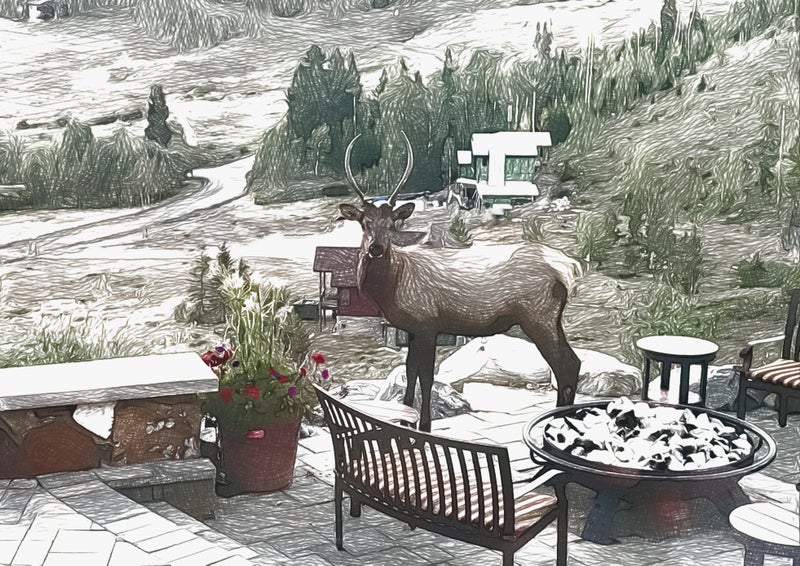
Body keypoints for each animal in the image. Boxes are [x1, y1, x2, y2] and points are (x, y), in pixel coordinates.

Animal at [339, 133, 581, 431]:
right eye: (364, 222)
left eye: (393, 223)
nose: (375, 248)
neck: (394, 285)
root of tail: (569, 268)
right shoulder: (411, 328)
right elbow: (409, 371)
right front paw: (405, 420)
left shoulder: (428, 323)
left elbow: (426, 376)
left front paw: (424, 425)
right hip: (551, 318)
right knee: (573, 361)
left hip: (538, 315)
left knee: (563, 365)